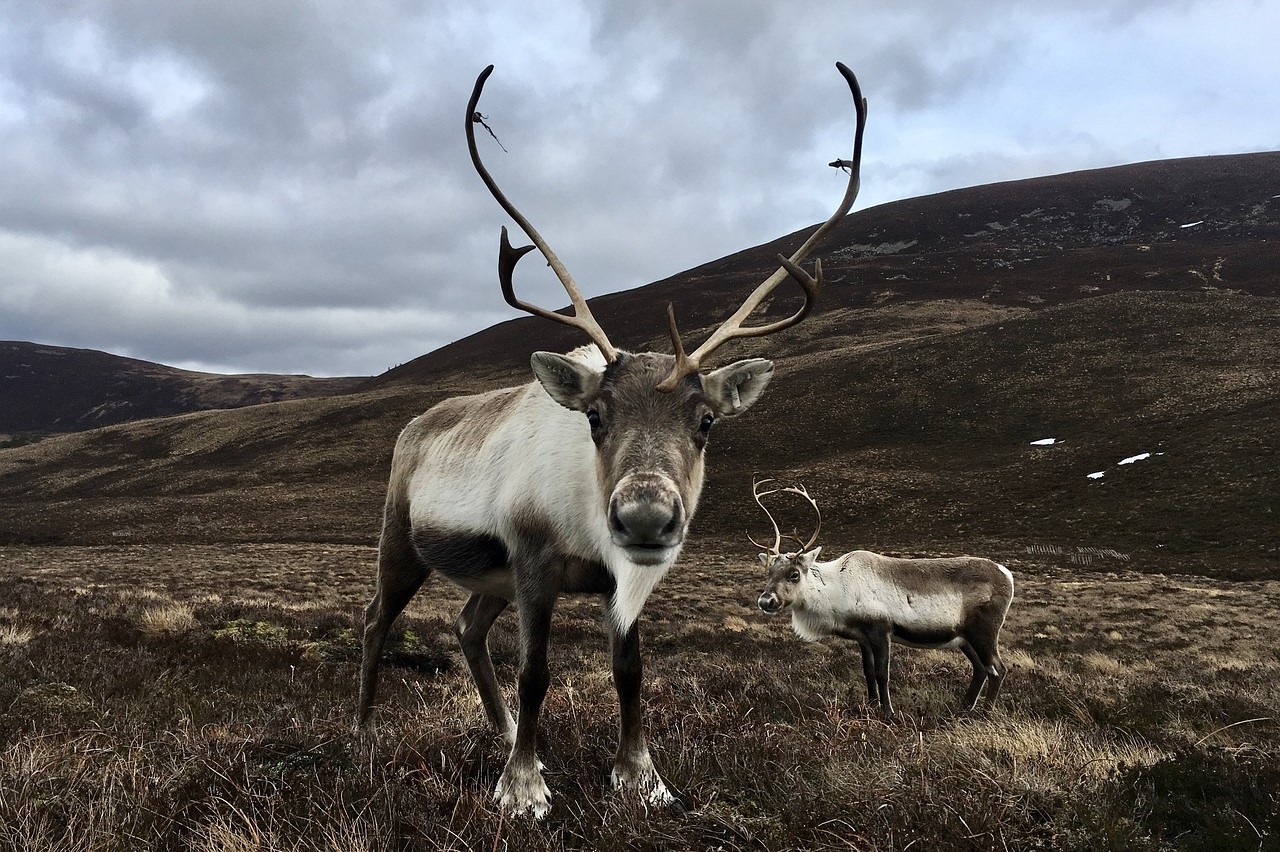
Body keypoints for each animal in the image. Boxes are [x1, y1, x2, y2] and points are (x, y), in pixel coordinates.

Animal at [357, 63, 869, 818]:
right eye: (595, 416)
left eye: (707, 420)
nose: (645, 517)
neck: (585, 522)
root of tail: (414, 426)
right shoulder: (534, 563)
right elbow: (536, 670)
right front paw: (523, 787)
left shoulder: (610, 581)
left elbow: (629, 669)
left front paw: (641, 777)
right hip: (403, 540)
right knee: (376, 618)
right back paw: (365, 730)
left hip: (489, 574)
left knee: (469, 626)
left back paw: (501, 730)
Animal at [752, 480, 1013, 716]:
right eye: (769, 572)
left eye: (794, 574)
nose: (766, 601)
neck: (838, 588)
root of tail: (1007, 574)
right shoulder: (862, 637)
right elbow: (867, 672)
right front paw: (869, 706)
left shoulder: (880, 630)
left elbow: (882, 673)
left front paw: (888, 712)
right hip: (964, 638)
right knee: (981, 669)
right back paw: (964, 709)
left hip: (984, 632)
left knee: (998, 669)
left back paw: (985, 713)